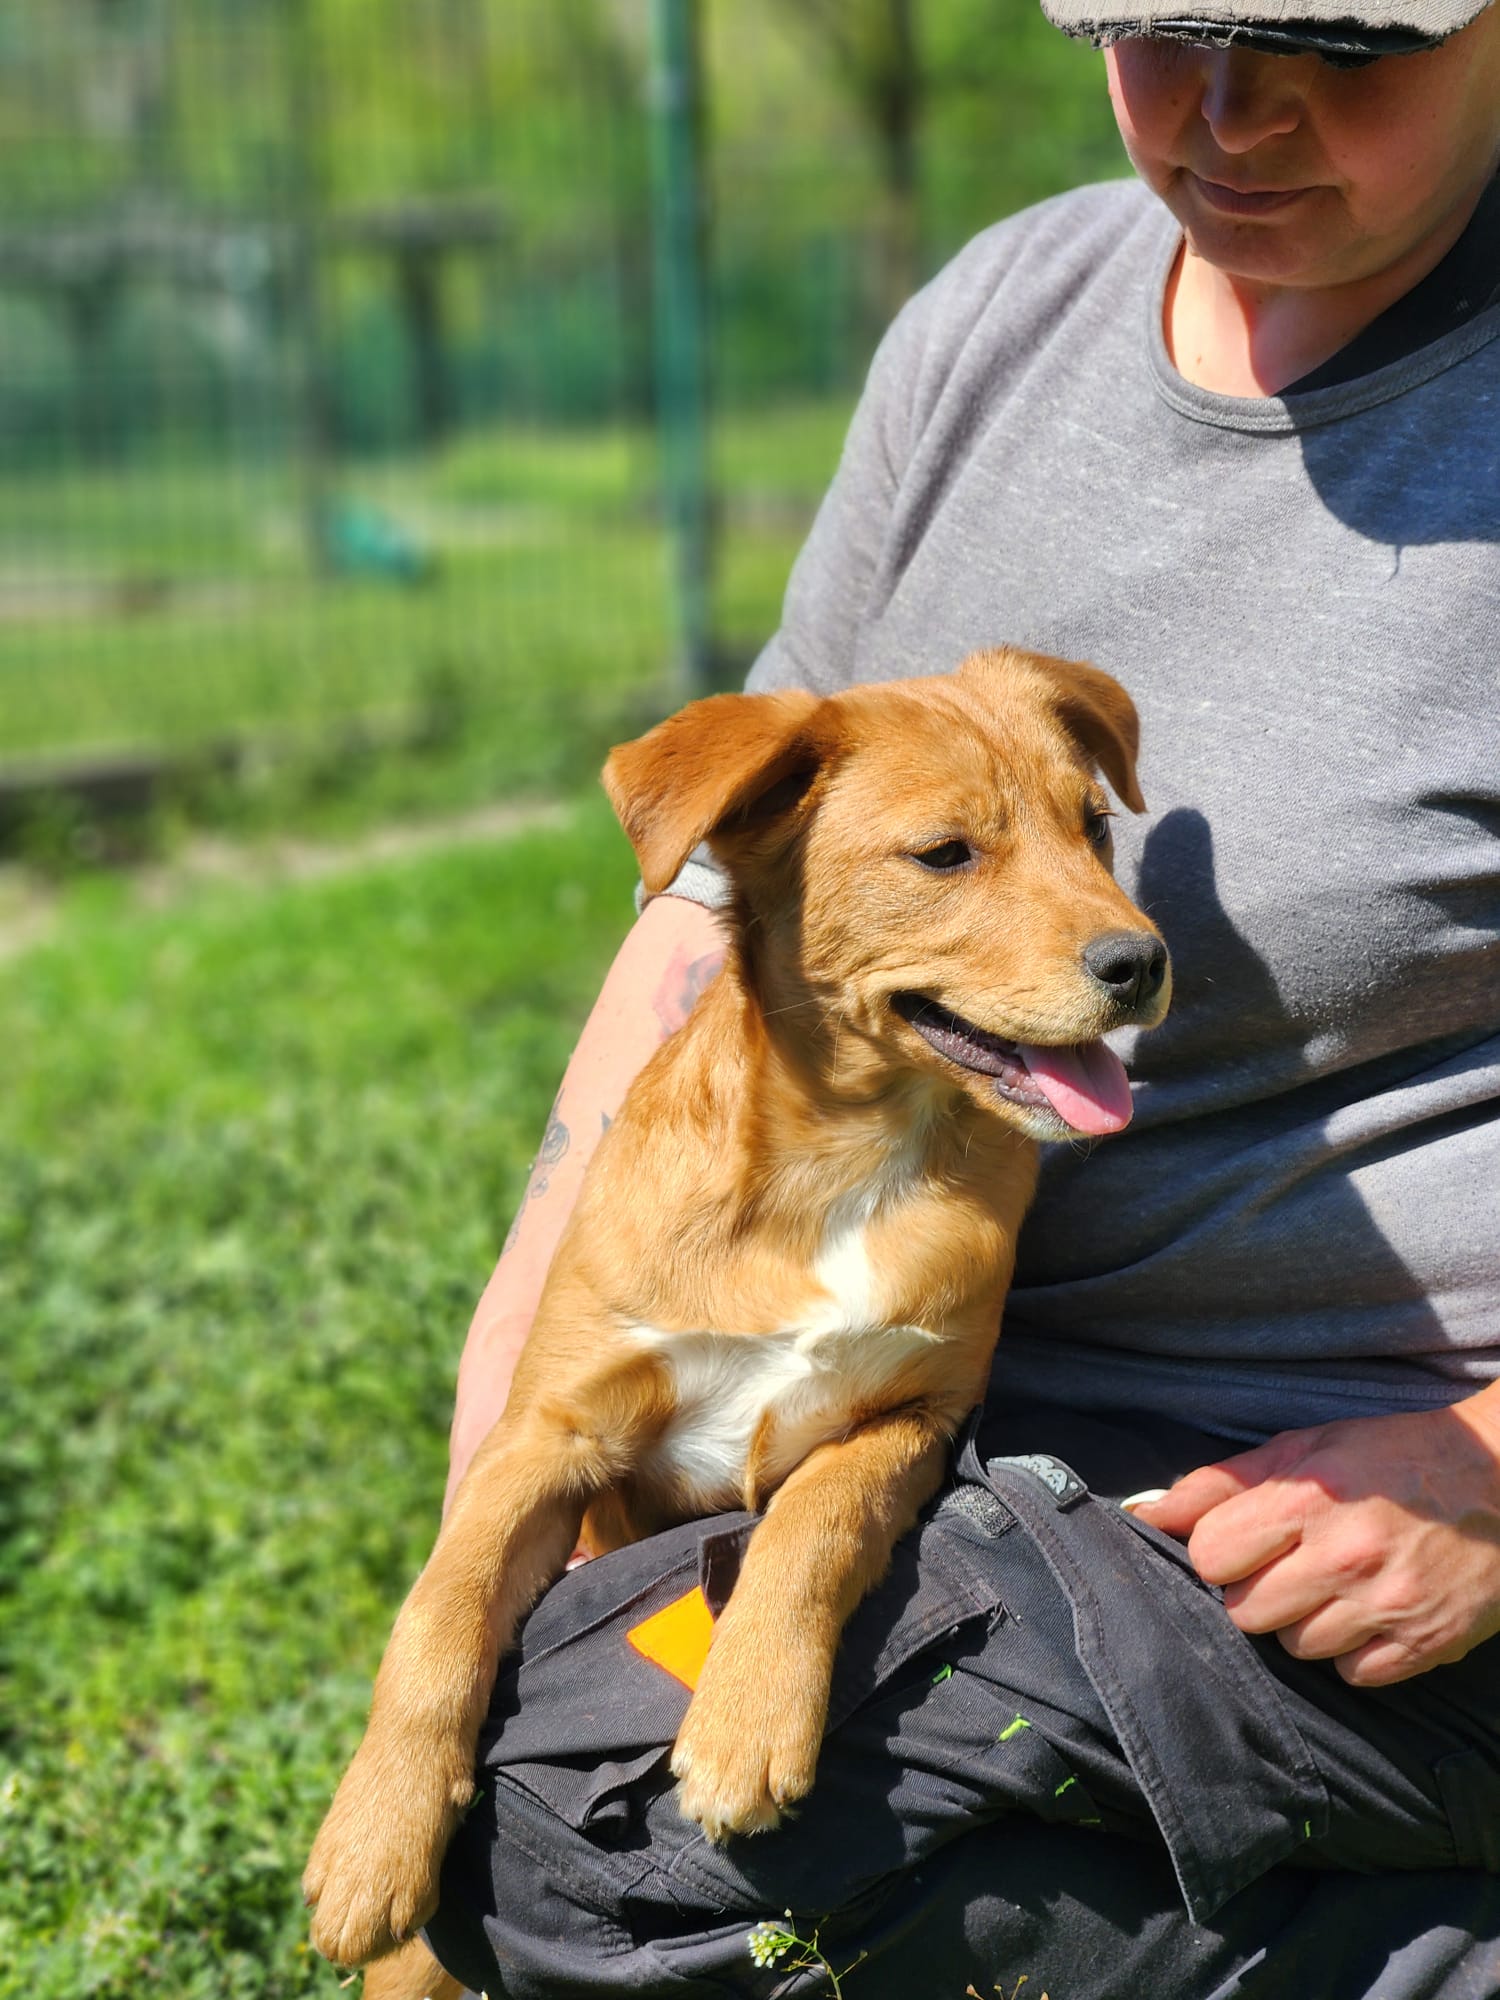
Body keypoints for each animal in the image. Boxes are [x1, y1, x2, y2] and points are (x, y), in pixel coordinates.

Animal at [303, 646, 1171, 1993]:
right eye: (944, 855)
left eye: (1093, 828)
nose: (1144, 962)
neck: (843, 1161)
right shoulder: (549, 1433)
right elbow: (439, 1611)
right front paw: (374, 1829)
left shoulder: (912, 1414)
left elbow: (812, 1525)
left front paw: (747, 1717)